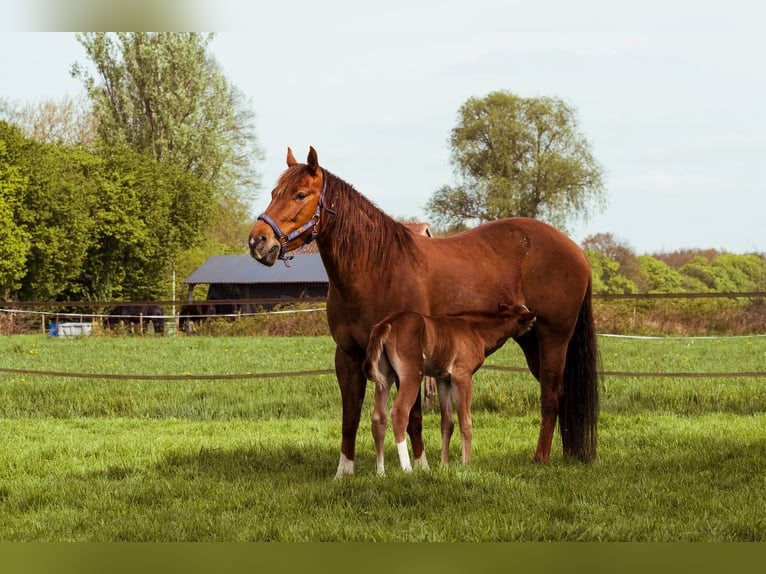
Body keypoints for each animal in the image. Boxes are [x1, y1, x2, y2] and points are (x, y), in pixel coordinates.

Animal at [363, 303, 537, 475]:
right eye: (528, 318)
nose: (533, 328)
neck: (476, 331)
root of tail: (386, 324)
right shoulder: (462, 375)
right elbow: (465, 423)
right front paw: (466, 465)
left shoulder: (443, 379)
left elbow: (447, 422)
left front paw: (444, 465)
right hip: (412, 375)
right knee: (399, 412)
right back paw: (408, 469)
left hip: (385, 377)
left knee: (379, 417)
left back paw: (381, 473)